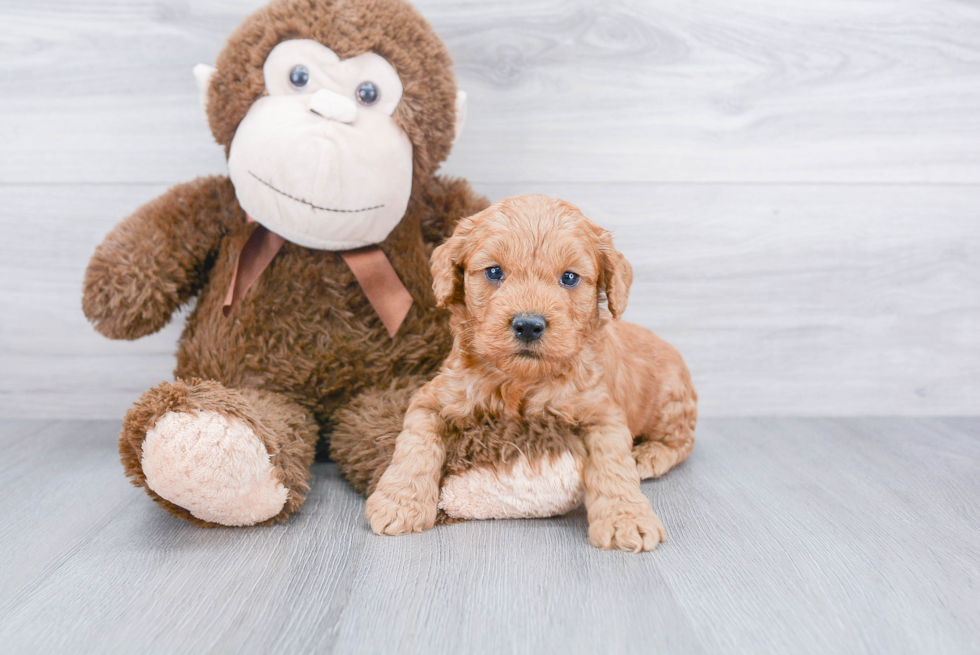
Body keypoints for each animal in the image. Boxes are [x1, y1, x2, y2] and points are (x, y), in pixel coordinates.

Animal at [362, 196, 696, 552]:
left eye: (569, 277)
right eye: (494, 272)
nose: (528, 325)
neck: (519, 381)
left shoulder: (603, 413)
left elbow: (613, 465)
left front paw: (626, 519)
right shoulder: (432, 398)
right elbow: (415, 445)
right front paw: (400, 502)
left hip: (669, 403)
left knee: (682, 441)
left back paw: (649, 455)